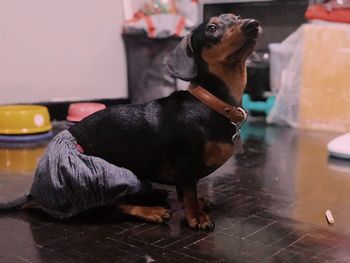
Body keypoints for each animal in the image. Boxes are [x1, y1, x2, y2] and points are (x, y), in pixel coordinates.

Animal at [0, 13, 260, 231]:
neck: (211, 102)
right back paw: (152, 211)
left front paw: (198, 202)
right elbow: (188, 192)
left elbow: (187, 192)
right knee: (114, 206)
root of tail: (34, 195)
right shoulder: (185, 166)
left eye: (236, 17)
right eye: (212, 28)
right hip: (108, 179)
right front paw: (196, 216)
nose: (253, 24)